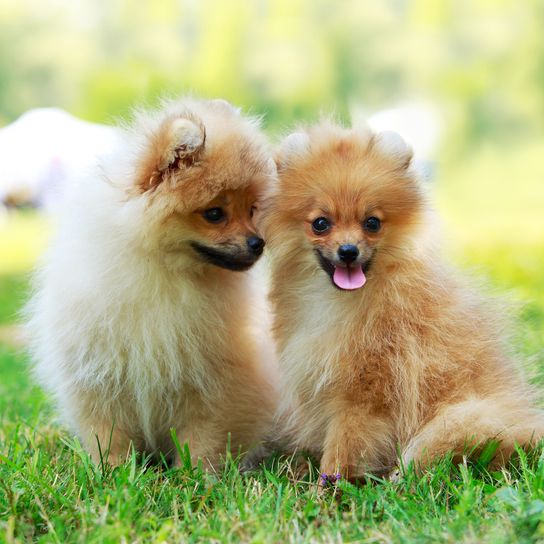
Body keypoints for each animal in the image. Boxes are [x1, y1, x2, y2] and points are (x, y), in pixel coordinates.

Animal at [27, 98, 278, 468]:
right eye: (215, 214)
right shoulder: (100, 375)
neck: (166, 275)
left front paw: (194, 475)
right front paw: (112, 471)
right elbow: (109, 436)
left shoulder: (214, 383)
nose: (257, 243)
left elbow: (203, 438)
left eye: (252, 210)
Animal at [264, 120, 544, 480]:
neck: (335, 301)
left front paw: (329, 485)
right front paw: (304, 468)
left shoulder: (366, 389)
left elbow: (344, 444)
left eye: (372, 223)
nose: (348, 250)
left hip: (464, 418)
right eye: (321, 224)